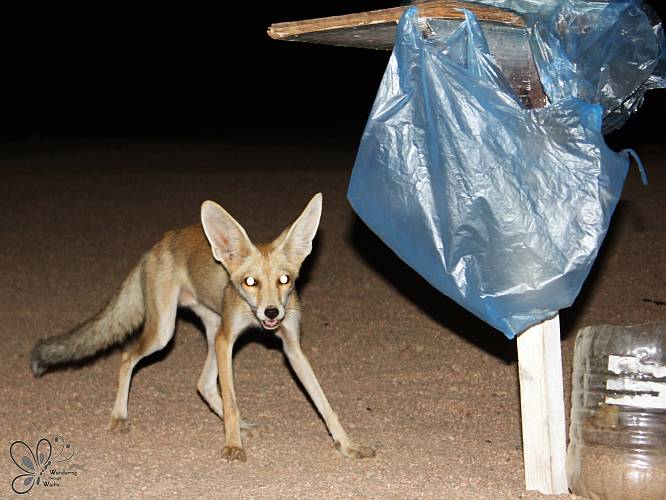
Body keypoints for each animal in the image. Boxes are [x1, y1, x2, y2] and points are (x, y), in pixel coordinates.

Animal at [30, 193, 374, 462]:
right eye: (250, 282)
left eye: (284, 280)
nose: (272, 311)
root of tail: (158, 244)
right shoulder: (227, 339)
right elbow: (233, 402)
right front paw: (233, 446)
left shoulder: (291, 347)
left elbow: (324, 403)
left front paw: (347, 445)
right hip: (166, 332)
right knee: (128, 358)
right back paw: (119, 416)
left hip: (211, 329)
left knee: (202, 384)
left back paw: (236, 424)